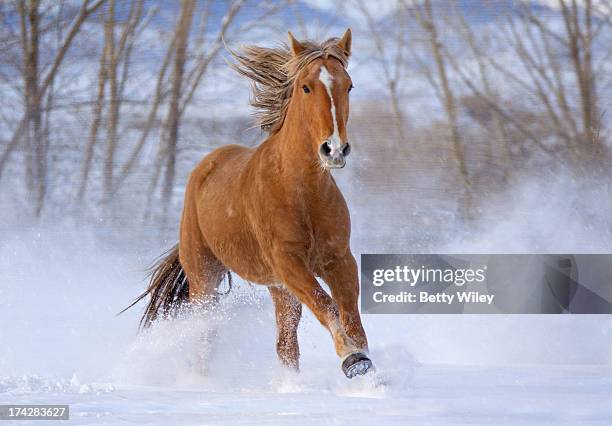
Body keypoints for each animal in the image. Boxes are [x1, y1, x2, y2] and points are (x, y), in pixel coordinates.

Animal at [127, 28, 376, 378]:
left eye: (349, 85)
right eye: (306, 86)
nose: (334, 149)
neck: (302, 192)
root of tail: (206, 166)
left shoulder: (338, 259)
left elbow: (350, 315)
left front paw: (364, 365)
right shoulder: (287, 261)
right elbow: (327, 305)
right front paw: (352, 359)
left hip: (278, 288)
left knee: (286, 344)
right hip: (204, 277)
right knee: (205, 335)